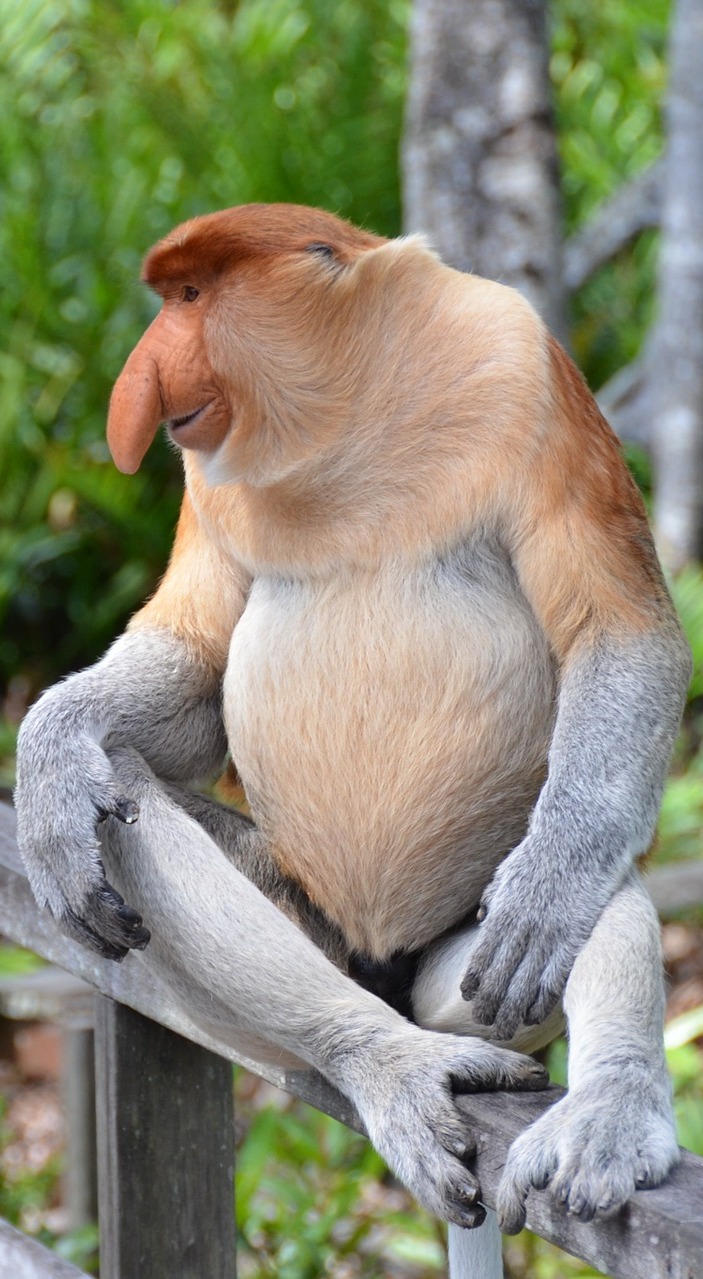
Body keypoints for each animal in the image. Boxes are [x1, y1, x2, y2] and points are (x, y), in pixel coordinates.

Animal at [13, 202, 690, 1268]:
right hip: (317, 942)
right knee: (125, 796)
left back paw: (604, 1107)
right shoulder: (206, 477)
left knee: (593, 887)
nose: (141, 375)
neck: (346, 414)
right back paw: (385, 1060)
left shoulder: (526, 371)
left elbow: (618, 635)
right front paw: (48, 760)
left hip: (472, 970)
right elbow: (194, 665)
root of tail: (385, 966)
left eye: (190, 296)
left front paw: (551, 889)